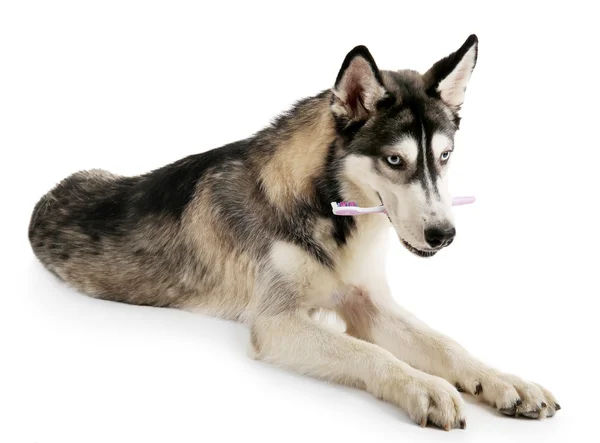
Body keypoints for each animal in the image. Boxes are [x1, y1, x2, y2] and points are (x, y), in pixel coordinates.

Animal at [30, 36, 560, 432]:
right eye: (394, 160)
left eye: (445, 157)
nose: (443, 234)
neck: (330, 215)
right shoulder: (277, 323)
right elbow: (368, 351)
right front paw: (425, 386)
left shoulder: (369, 302)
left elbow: (446, 344)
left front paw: (504, 381)